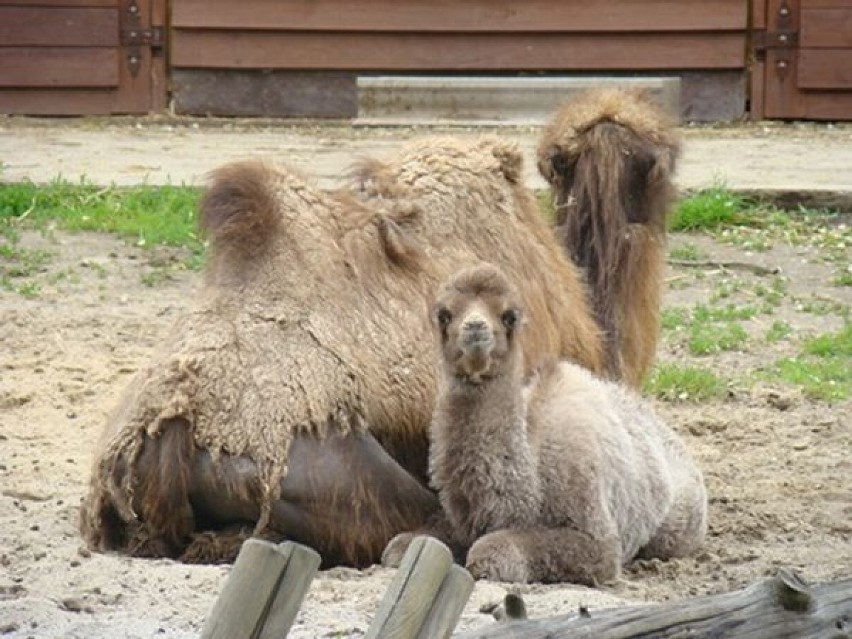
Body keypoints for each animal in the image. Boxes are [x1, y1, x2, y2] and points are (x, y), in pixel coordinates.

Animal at [384, 264, 704, 584]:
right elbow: (401, 547)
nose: (475, 328)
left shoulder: (597, 540)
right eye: (444, 314)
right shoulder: (459, 519)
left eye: (509, 315)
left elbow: (491, 550)